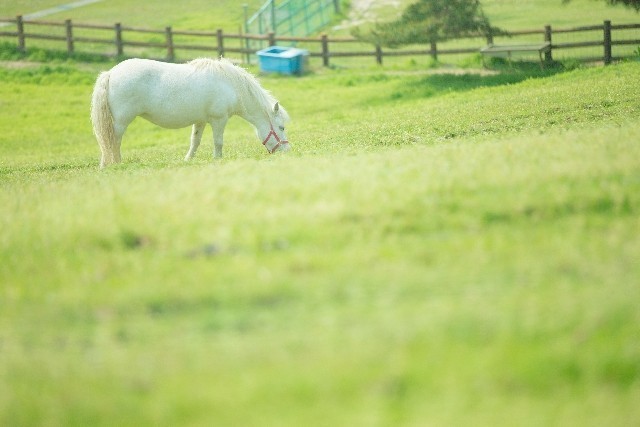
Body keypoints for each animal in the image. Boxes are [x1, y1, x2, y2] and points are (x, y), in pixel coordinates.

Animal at [90, 57, 290, 168]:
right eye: (281, 127)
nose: (287, 151)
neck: (230, 84)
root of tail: (111, 73)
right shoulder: (219, 120)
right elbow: (218, 142)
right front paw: (217, 160)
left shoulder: (200, 121)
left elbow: (195, 142)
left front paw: (188, 160)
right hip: (120, 122)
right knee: (112, 142)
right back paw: (114, 164)